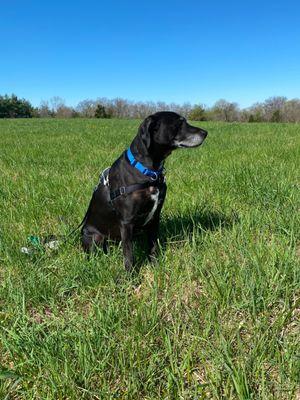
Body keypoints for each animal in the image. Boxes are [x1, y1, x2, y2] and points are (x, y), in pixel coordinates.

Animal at [80, 111, 206, 270]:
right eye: (179, 124)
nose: (205, 133)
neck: (148, 171)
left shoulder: (155, 217)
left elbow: (152, 245)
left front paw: (155, 266)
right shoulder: (127, 222)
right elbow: (128, 253)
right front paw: (130, 274)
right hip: (94, 236)